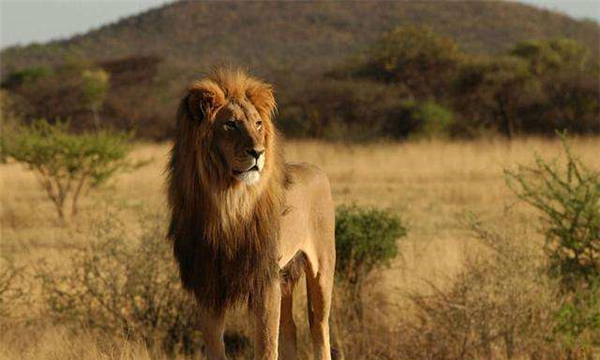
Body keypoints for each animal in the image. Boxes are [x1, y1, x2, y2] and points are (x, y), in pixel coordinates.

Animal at [168, 68, 338, 360]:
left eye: (258, 124)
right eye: (230, 124)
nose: (258, 152)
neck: (228, 203)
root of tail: (316, 169)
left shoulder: (265, 280)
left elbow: (267, 346)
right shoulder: (207, 285)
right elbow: (215, 347)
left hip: (321, 270)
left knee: (318, 325)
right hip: (285, 276)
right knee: (290, 327)